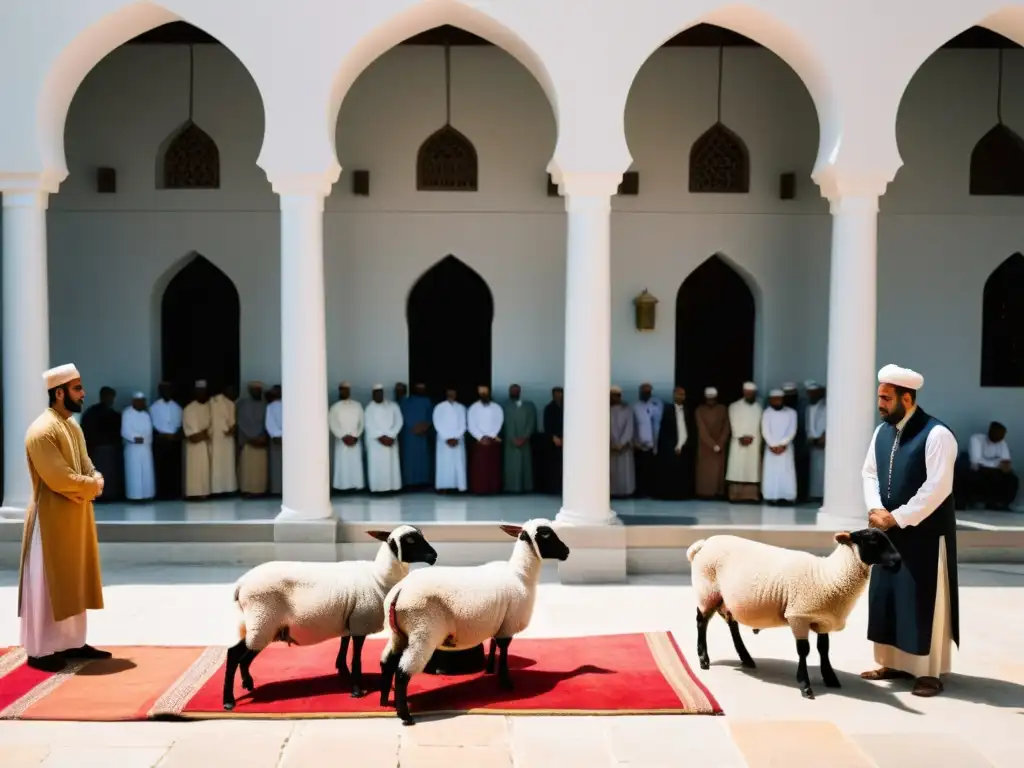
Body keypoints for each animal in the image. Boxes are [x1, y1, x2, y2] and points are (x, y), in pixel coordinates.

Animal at [220, 528, 436, 712]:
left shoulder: (349, 620)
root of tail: (241, 584)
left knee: (246, 655)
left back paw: (248, 684)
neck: (378, 578)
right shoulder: (360, 622)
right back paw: (228, 701)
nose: (434, 556)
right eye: (410, 540)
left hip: (264, 625)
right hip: (263, 619)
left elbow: (343, 645)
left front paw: (342, 671)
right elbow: (356, 658)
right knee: (233, 654)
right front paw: (356, 690)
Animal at [376, 518, 573, 729]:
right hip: (423, 632)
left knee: (387, 663)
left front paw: (490, 669)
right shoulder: (509, 624)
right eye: (546, 535)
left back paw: (385, 701)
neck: (520, 575)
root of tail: (400, 591)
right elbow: (504, 649)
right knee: (402, 672)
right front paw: (506, 682)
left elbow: (494, 644)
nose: (567, 551)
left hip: (399, 634)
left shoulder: (499, 621)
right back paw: (405, 715)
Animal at [688, 528, 905, 704]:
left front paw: (830, 677)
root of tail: (703, 544)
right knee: (701, 621)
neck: (829, 576)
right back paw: (704, 659)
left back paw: (746, 658)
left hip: (726, 598)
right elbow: (804, 650)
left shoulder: (822, 620)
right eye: (872, 539)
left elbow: (823, 649)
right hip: (707, 590)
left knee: (731, 623)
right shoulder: (798, 616)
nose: (898, 560)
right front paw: (805, 685)